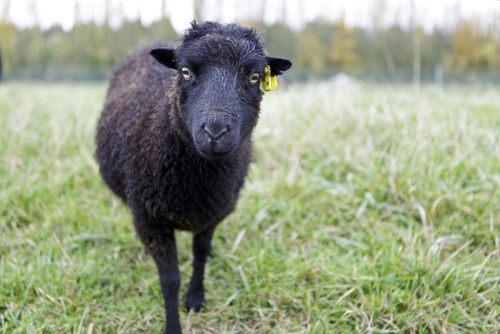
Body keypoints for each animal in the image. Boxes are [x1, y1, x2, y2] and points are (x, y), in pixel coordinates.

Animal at [95, 21, 292, 334]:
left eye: (254, 76)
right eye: (185, 72)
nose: (214, 132)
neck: (196, 179)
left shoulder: (212, 212)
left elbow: (200, 252)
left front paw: (196, 298)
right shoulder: (152, 221)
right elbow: (170, 280)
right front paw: (173, 325)